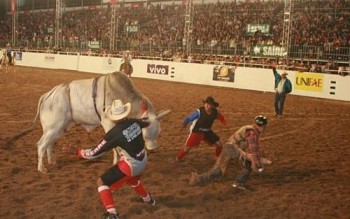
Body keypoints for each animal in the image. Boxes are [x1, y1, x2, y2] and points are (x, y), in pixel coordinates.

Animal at [23, 71, 170, 172]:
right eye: (145, 134)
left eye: (158, 133)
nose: (153, 149)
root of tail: (47, 95)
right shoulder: (108, 124)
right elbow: (115, 146)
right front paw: (116, 161)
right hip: (52, 128)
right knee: (41, 145)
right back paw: (42, 168)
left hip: (60, 128)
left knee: (50, 144)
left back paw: (51, 161)